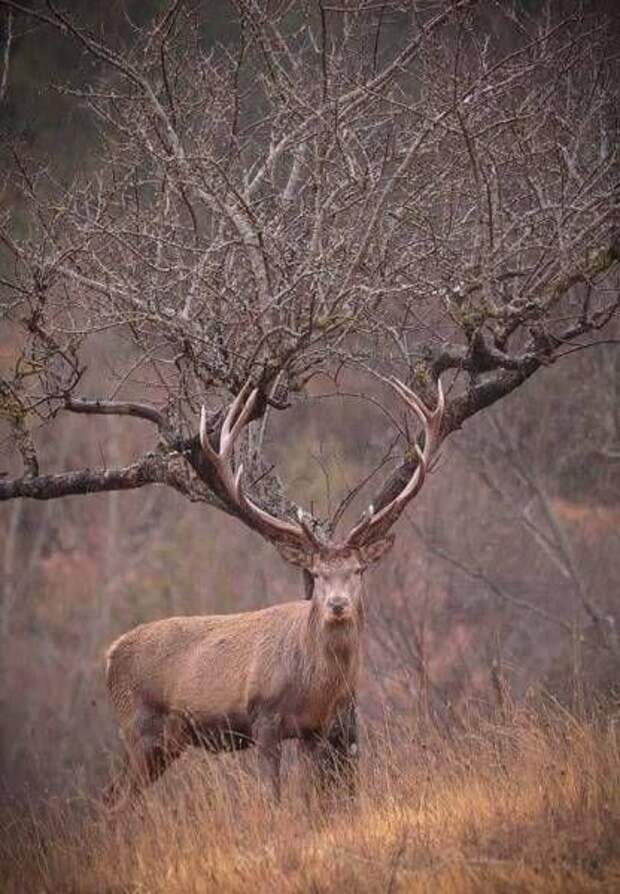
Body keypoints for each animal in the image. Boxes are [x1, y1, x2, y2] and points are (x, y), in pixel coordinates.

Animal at [104, 374, 444, 808]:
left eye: (358, 570)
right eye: (315, 573)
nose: (337, 605)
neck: (314, 685)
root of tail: (109, 656)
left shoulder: (316, 728)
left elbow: (309, 794)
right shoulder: (261, 718)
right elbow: (274, 796)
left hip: (163, 742)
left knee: (113, 796)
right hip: (139, 727)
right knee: (116, 798)